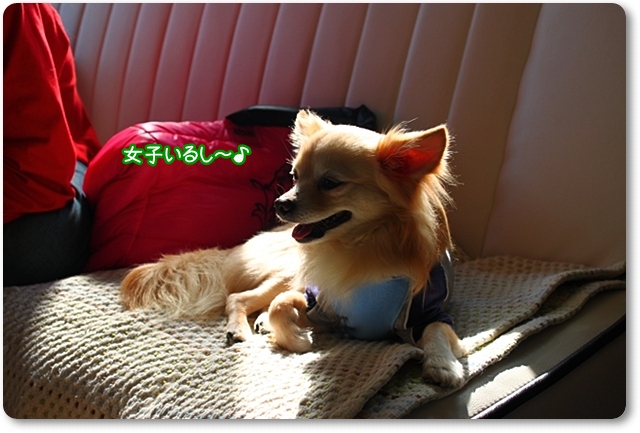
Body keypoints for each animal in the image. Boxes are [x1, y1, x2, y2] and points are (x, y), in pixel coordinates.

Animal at [121, 109, 467, 387]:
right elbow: (280, 306)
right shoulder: (317, 298)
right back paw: (242, 327)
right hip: (287, 272)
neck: (359, 247)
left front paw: (443, 365)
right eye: (295, 176)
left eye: (330, 183)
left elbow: (436, 331)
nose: (280, 203)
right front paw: (297, 338)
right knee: (239, 298)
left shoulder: (428, 312)